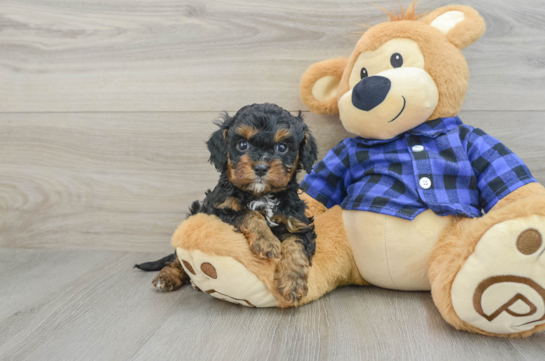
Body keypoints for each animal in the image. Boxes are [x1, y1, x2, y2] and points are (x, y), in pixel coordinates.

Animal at [133, 103, 316, 304]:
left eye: (282, 147)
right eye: (242, 145)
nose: (260, 167)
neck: (261, 195)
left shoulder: (297, 221)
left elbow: (296, 245)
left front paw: (293, 284)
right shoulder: (219, 210)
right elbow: (249, 214)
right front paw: (267, 241)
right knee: (176, 260)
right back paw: (167, 277)